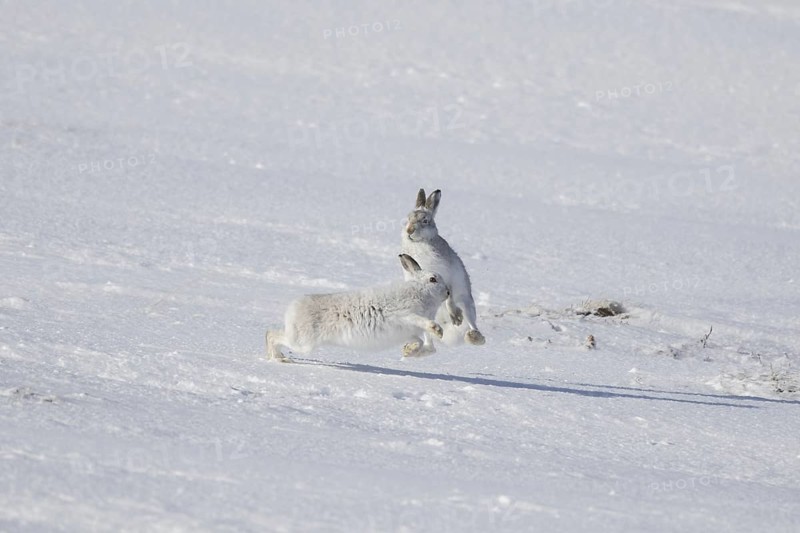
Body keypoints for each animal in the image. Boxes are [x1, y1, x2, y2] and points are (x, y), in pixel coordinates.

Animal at [266, 254, 450, 362]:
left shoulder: (408, 332)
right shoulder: (404, 313)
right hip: (303, 342)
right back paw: (279, 358)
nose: (448, 292)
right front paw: (438, 330)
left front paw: (408, 352)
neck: (420, 290)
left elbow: (421, 342)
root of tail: (292, 310)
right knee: (272, 335)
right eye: (433, 279)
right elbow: (421, 322)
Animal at [400, 188, 485, 355]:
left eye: (425, 221)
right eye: (408, 218)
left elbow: (449, 297)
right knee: (430, 343)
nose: (409, 230)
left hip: (467, 302)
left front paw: (456, 316)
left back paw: (471, 334)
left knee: (474, 327)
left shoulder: (447, 276)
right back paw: (412, 350)